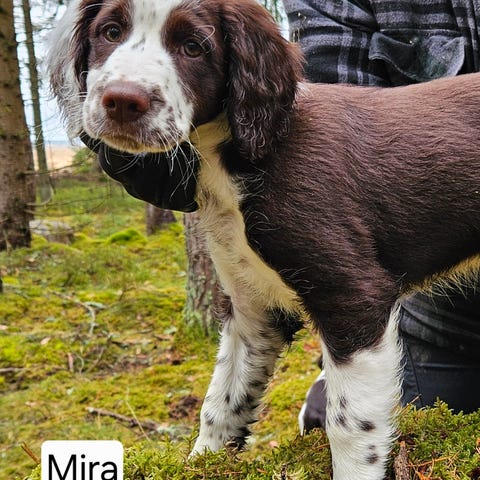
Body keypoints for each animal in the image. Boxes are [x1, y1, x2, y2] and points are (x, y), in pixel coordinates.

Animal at [47, 0, 480, 478]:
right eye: (110, 32)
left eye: (193, 47)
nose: (122, 101)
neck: (242, 157)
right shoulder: (253, 308)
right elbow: (222, 402)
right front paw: (204, 460)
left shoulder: (355, 297)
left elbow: (349, 422)